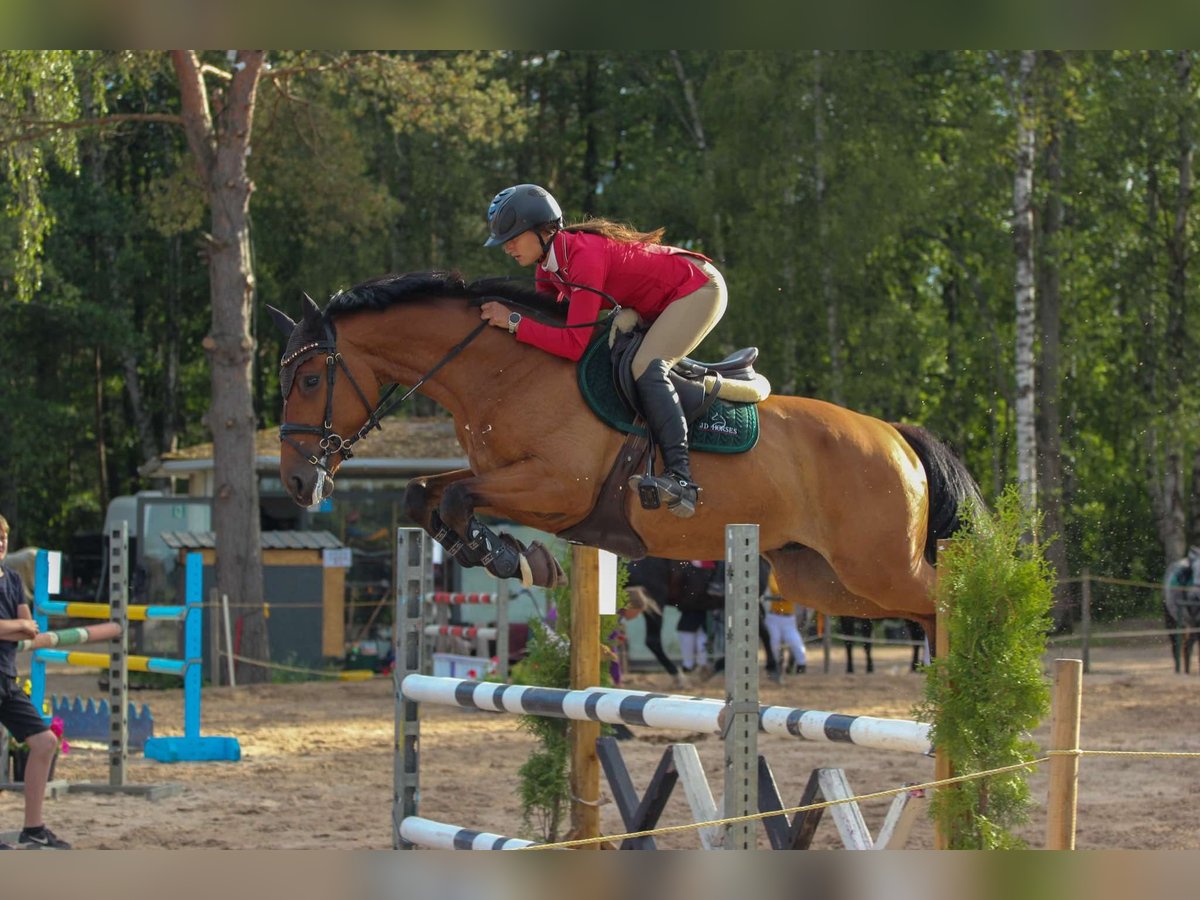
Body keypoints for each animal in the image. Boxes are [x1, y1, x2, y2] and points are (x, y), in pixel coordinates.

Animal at [272, 271, 984, 643]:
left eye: (307, 379)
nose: (298, 483)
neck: (506, 369)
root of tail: (895, 436)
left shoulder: (558, 489)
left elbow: (452, 496)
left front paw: (511, 556)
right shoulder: (503, 474)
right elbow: (425, 493)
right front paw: (508, 556)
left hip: (877, 566)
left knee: (947, 595)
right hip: (825, 579)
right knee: (923, 611)